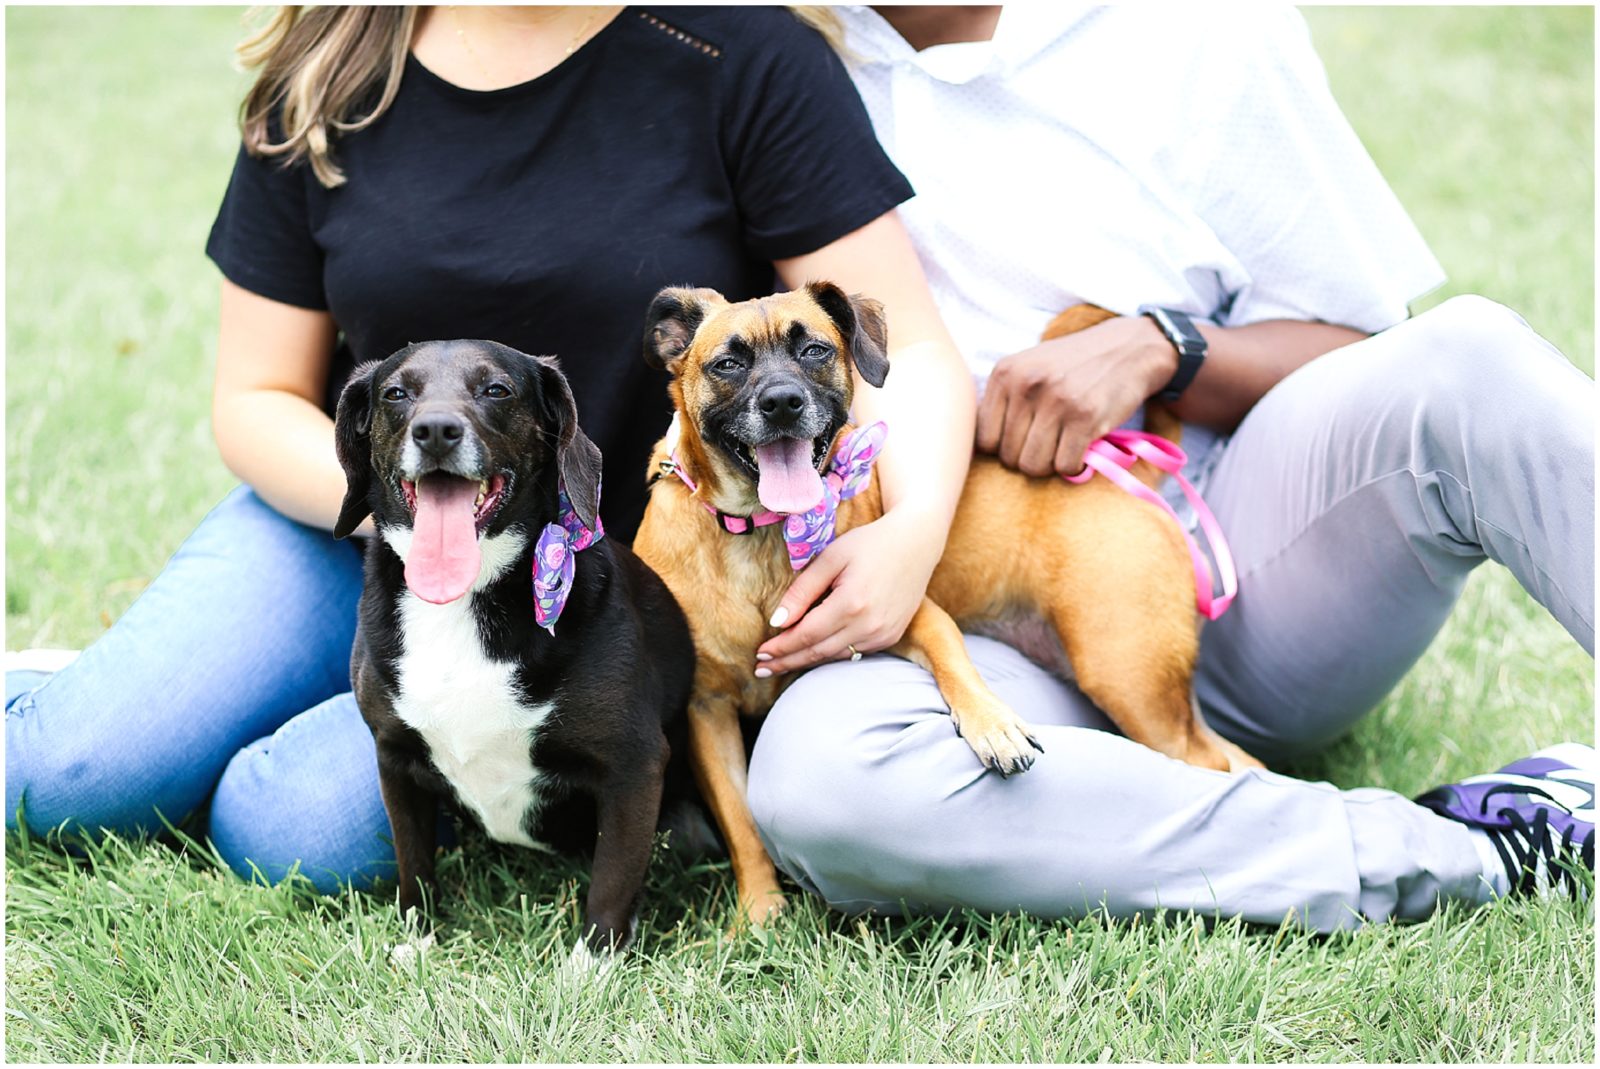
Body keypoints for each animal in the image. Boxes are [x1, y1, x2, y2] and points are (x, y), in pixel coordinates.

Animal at [331, 340, 694, 953]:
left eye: (496, 390)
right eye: (396, 393)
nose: (435, 431)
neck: (466, 596)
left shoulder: (635, 767)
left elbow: (612, 884)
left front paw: (591, 965)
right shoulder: (395, 758)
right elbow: (414, 865)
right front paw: (418, 943)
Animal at [630, 283, 1254, 928]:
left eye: (814, 350)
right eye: (727, 364)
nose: (782, 402)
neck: (761, 533)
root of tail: (1124, 470)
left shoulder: (906, 612)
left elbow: (955, 663)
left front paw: (993, 726)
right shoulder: (708, 712)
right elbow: (740, 823)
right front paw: (759, 910)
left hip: (1129, 681)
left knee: (1209, 767)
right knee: (1234, 759)